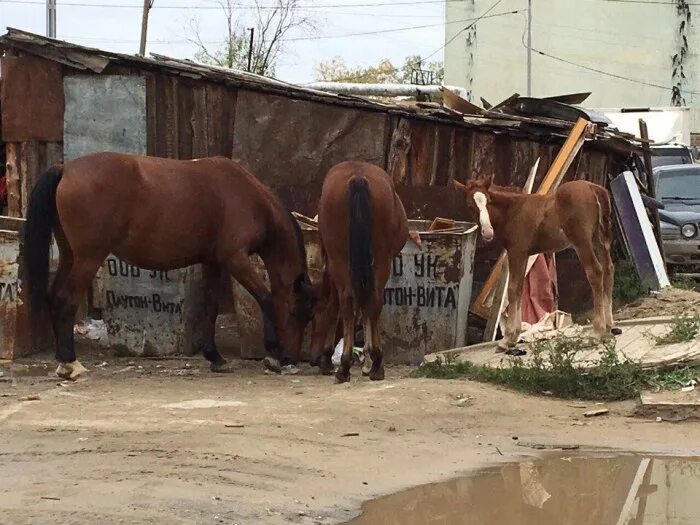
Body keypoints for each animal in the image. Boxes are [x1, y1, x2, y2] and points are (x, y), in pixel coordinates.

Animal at [23, 150, 314, 376]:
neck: (245, 196)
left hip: (71, 256)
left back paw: (62, 360)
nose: (291, 359)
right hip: (88, 259)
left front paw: (215, 358)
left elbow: (210, 307)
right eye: (296, 313)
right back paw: (70, 364)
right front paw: (273, 354)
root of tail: (65, 168)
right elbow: (265, 298)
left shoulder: (213, 262)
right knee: (66, 300)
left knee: (54, 297)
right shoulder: (235, 259)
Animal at [308, 160, 408, 380]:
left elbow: (335, 306)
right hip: (380, 259)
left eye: (315, 315)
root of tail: (358, 177)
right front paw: (369, 358)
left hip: (343, 259)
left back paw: (346, 366)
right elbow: (364, 306)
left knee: (347, 301)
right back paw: (375, 364)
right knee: (373, 300)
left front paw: (328, 358)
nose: (312, 357)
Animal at [454, 178, 612, 350]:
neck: (512, 211)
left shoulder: (517, 252)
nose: (488, 232)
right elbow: (519, 288)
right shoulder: (523, 255)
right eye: (471, 206)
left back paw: (598, 332)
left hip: (582, 241)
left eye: (488, 201)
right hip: (598, 239)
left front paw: (507, 339)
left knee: (595, 272)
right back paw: (608, 326)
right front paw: (514, 335)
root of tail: (592, 187)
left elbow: (512, 289)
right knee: (608, 268)